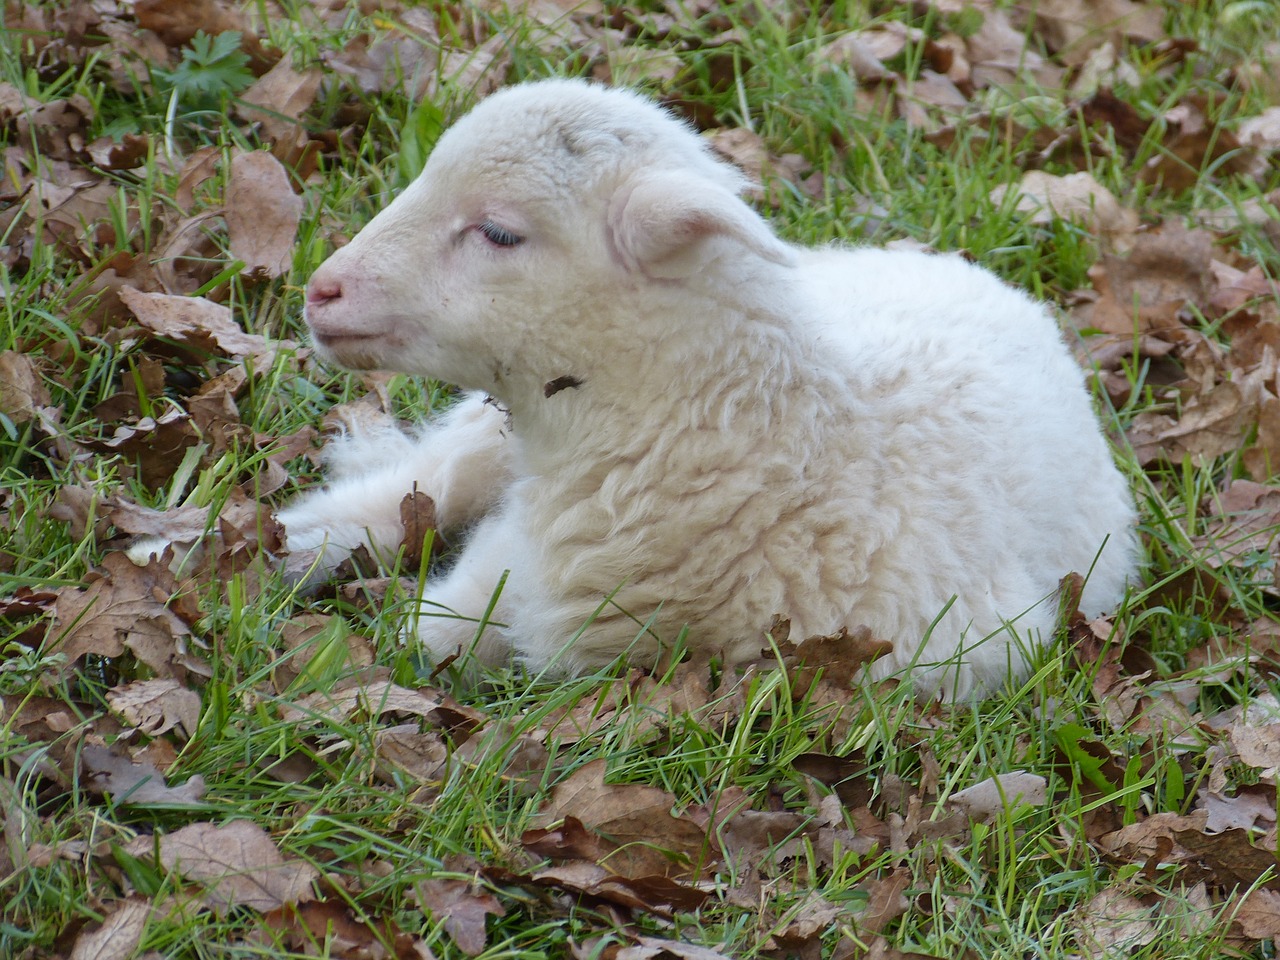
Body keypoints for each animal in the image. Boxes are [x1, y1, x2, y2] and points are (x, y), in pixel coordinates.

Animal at [282, 79, 1141, 701]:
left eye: (499, 233)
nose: (321, 290)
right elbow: (438, 621)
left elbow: (439, 634)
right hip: (486, 431)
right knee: (419, 484)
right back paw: (292, 543)